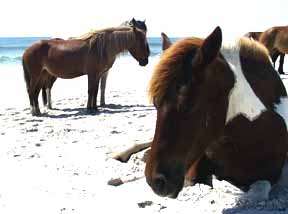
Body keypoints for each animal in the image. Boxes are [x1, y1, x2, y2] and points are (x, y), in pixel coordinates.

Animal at [21, 20, 150, 115]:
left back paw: (38, 111)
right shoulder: (92, 74)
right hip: (36, 76)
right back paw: (34, 112)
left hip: (42, 75)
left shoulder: (98, 74)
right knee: (31, 91)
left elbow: (95, 90)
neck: (100, 48)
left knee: (36, 92)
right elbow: (90, 90)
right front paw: (89, 108)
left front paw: (94, 108)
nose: (145, 61)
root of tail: (27, 50)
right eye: (141, 41)